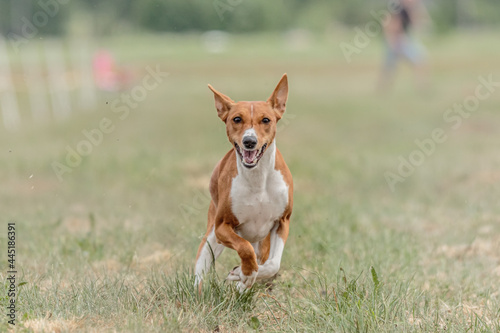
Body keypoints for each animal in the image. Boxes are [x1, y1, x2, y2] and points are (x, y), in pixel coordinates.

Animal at [193, 73, 292, 290]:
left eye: (266, 120)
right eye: (236, 119)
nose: (249, 141)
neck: (258, 179)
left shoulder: (282, 221)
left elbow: (272, 264)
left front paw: (242, 275)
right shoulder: (222, 227)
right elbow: (244, 248)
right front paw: (245, 273)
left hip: (262, 241)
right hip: (211, 238)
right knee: (200, 270)